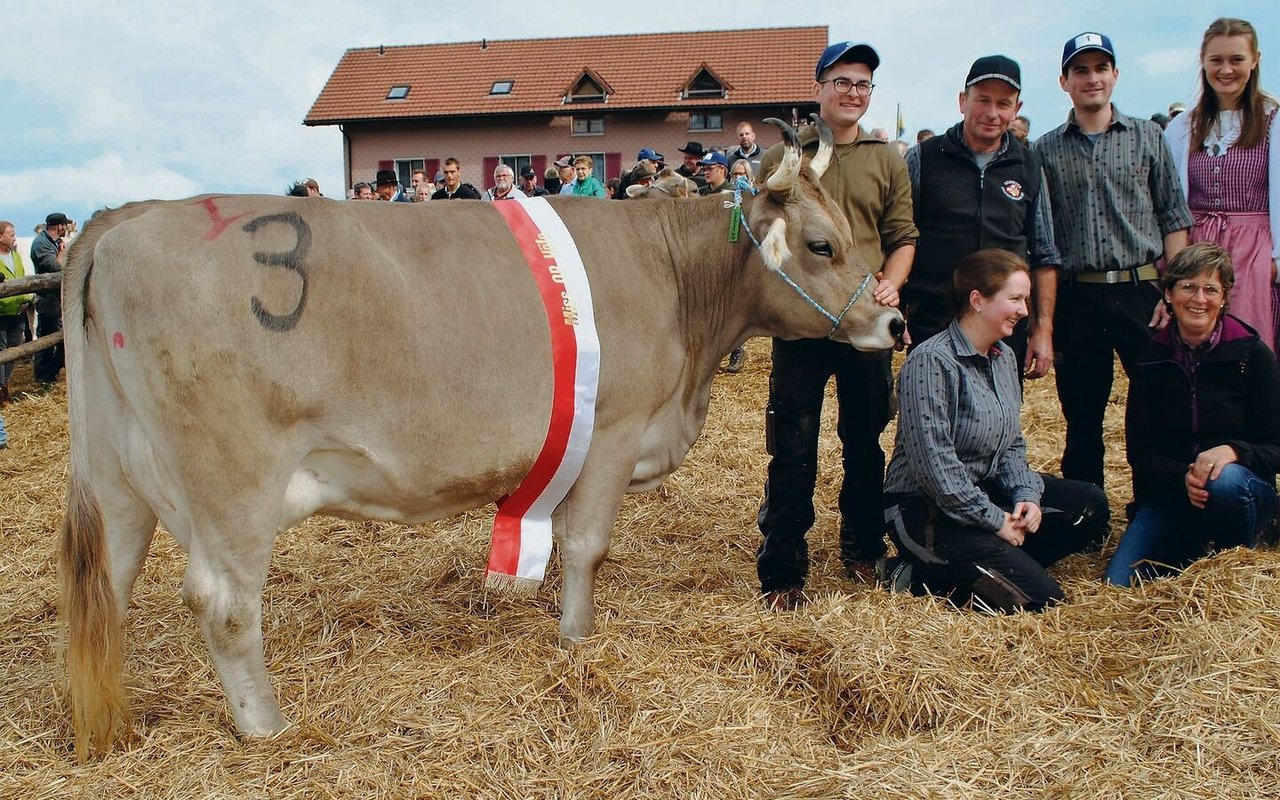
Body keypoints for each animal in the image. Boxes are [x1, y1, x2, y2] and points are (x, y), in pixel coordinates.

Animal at [60, 115, 901, 757]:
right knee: (226, 603)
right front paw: (576, 642)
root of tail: (124, 217)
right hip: (233, 480)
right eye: (821, 244)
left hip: (118, 475)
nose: (892, 321)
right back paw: (267, 727)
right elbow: (588, 546)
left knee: (109, 585)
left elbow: (562, 544)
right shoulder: (614, 429)